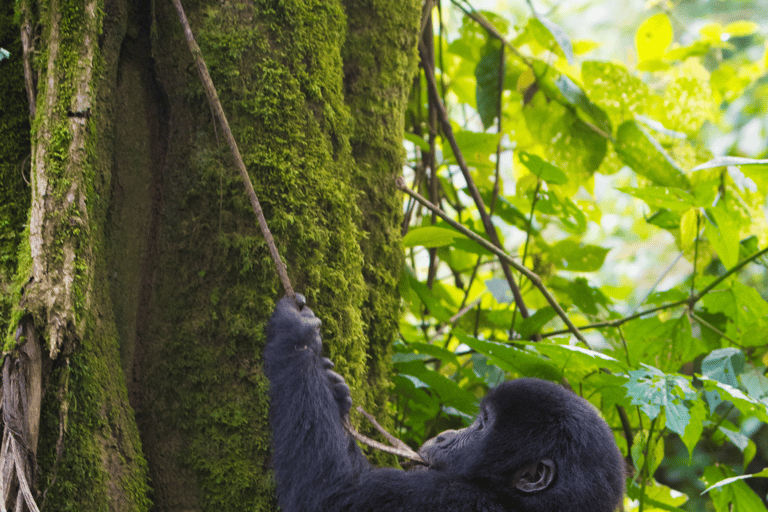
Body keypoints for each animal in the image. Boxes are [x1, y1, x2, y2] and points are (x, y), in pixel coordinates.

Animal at [264, 296, 624, 512]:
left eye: (482, 424)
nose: (443, 436)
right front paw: (335, 391)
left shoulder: (446, 498)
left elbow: (331, 494)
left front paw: (294, 336)